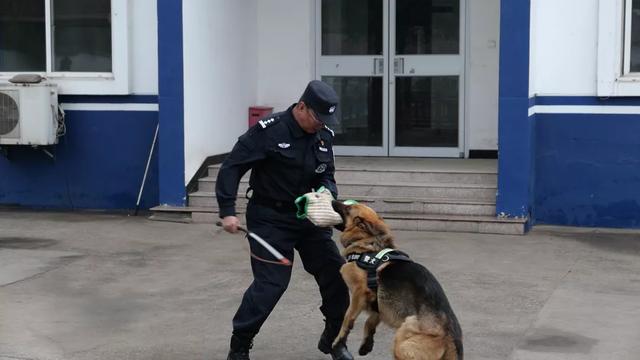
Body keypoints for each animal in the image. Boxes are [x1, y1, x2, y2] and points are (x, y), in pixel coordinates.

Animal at [332, 201, 462, 358]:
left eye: (348, 208)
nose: (332, 200)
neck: (366, 243)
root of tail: (451, 335)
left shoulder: (360, 292)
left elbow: (347, 318)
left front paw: (339, 340)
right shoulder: (377, 302)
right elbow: (371, 320)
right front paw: (367, 343)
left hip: (402, 340)